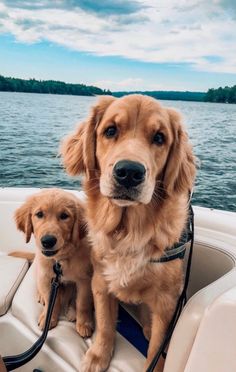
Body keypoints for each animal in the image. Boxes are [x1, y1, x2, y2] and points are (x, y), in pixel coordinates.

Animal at [13, 189, 93, 338]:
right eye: (39, 214)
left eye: (64, 216)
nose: (48, 241)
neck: (60, 260)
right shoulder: (46, 277)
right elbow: (52, 301)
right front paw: (48, 318)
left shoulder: (84, 280)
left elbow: (82, 303)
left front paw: (84, 324)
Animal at [60, 94, 195, 370]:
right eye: (110, 130)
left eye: (159, 138)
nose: (129, 173)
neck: (127, 231)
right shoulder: (101, 281)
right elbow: (105, 325)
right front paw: (98, 355)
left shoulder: (166, 302)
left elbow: (156, 349)